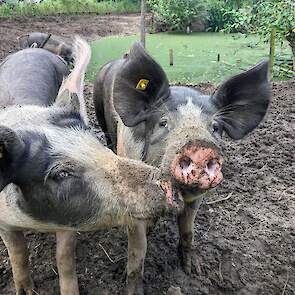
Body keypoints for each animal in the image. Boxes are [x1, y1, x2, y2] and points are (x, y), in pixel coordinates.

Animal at [0, 38, 183, 295]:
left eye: (95, 144)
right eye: (61, 173)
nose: (167, 182)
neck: (37, 222)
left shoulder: (70, 218)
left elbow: (64, 259)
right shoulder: (5, 222)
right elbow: (17, 255)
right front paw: (25, 291)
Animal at [93, 42, 272, 295]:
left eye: (215, 127)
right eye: (163, 123)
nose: (200, 146)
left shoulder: (197, 198)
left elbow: (188, 231)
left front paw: (193, 270)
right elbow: (137, 252)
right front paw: (134, 289)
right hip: (99, 111)